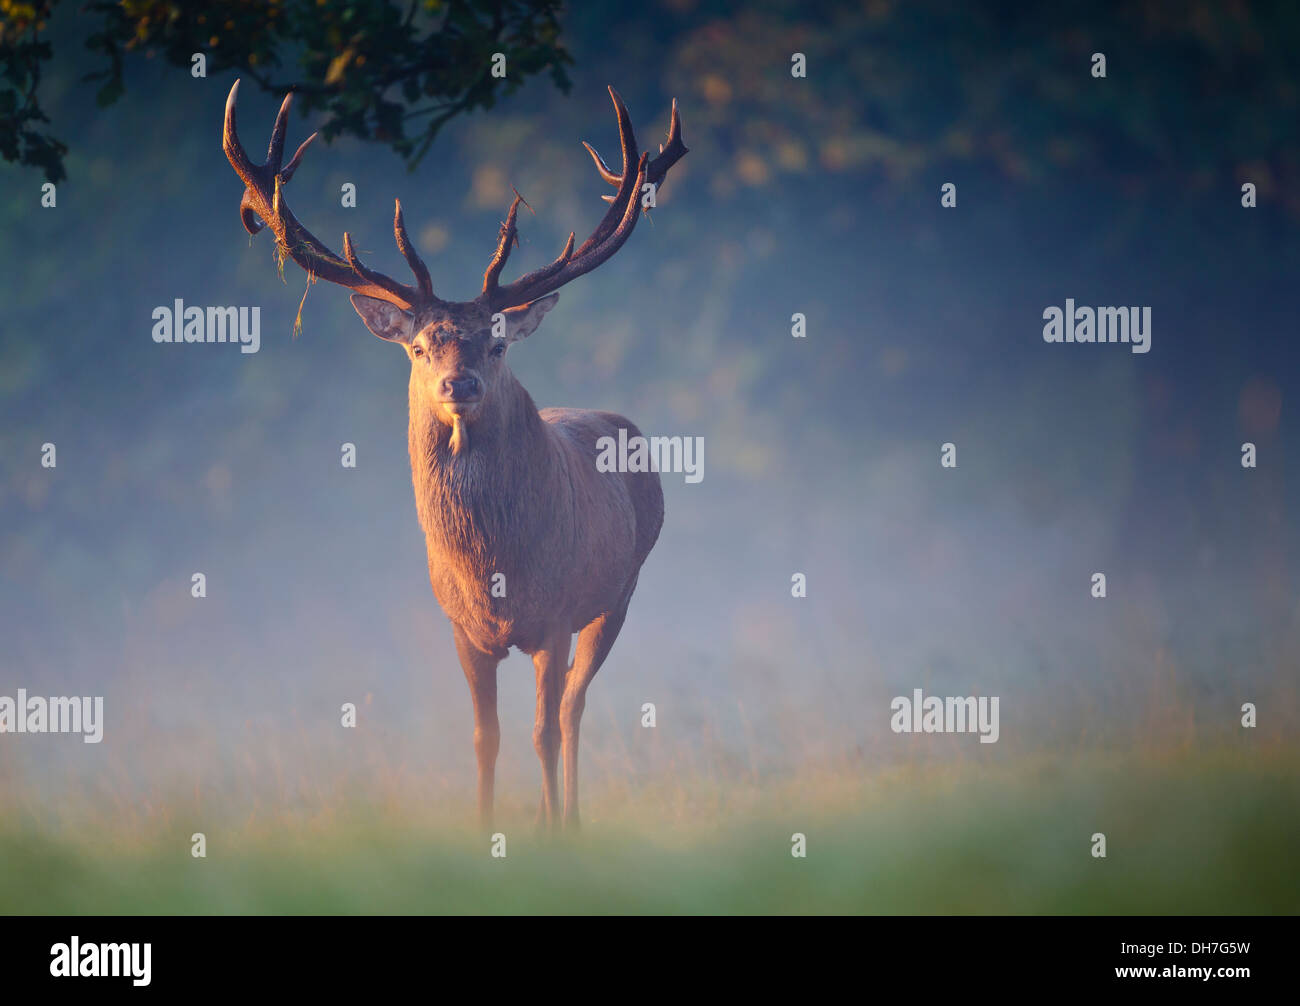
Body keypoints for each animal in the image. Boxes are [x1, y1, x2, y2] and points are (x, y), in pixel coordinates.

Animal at [221, 80, 686, 831]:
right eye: (418, 347)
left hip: (619, 592)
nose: (458, 384)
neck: (494, 569)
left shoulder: (555, 616)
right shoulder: (462, 630)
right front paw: (484, 829)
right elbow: (483, 737)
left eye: (495, 343)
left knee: (571, 708)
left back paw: (571, 817)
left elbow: (542, 730)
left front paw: (551, 833)